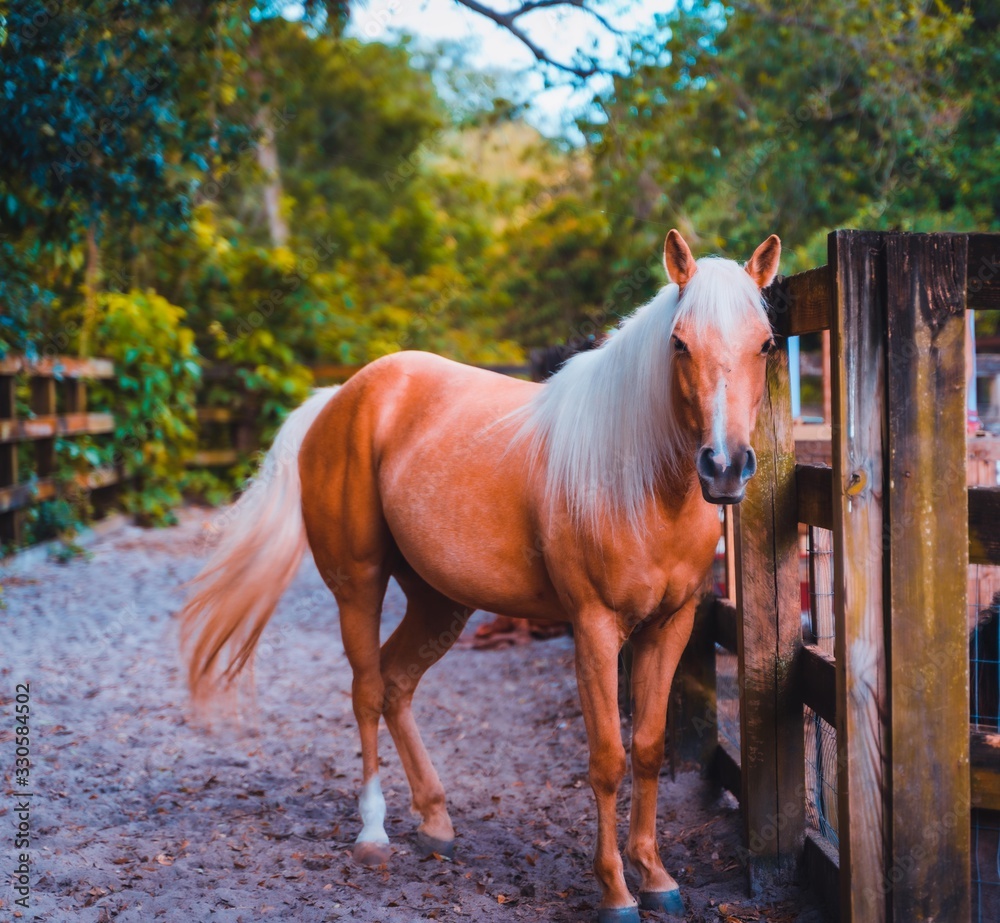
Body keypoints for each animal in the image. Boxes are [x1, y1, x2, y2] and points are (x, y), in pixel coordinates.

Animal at [180, 229, 781, 922]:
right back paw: (373, 832)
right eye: (680, 343)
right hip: (358, 585)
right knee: (366, 690)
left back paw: (436, 823)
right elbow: (607, 756)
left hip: (440, 603)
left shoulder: (671, 625)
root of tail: (340, 398)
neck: (637, 477)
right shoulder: (594, 628)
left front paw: (656, 877)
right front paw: (614, 890)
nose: (725, 467)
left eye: (765, 344)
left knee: (396, 684)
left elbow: (650, 748)